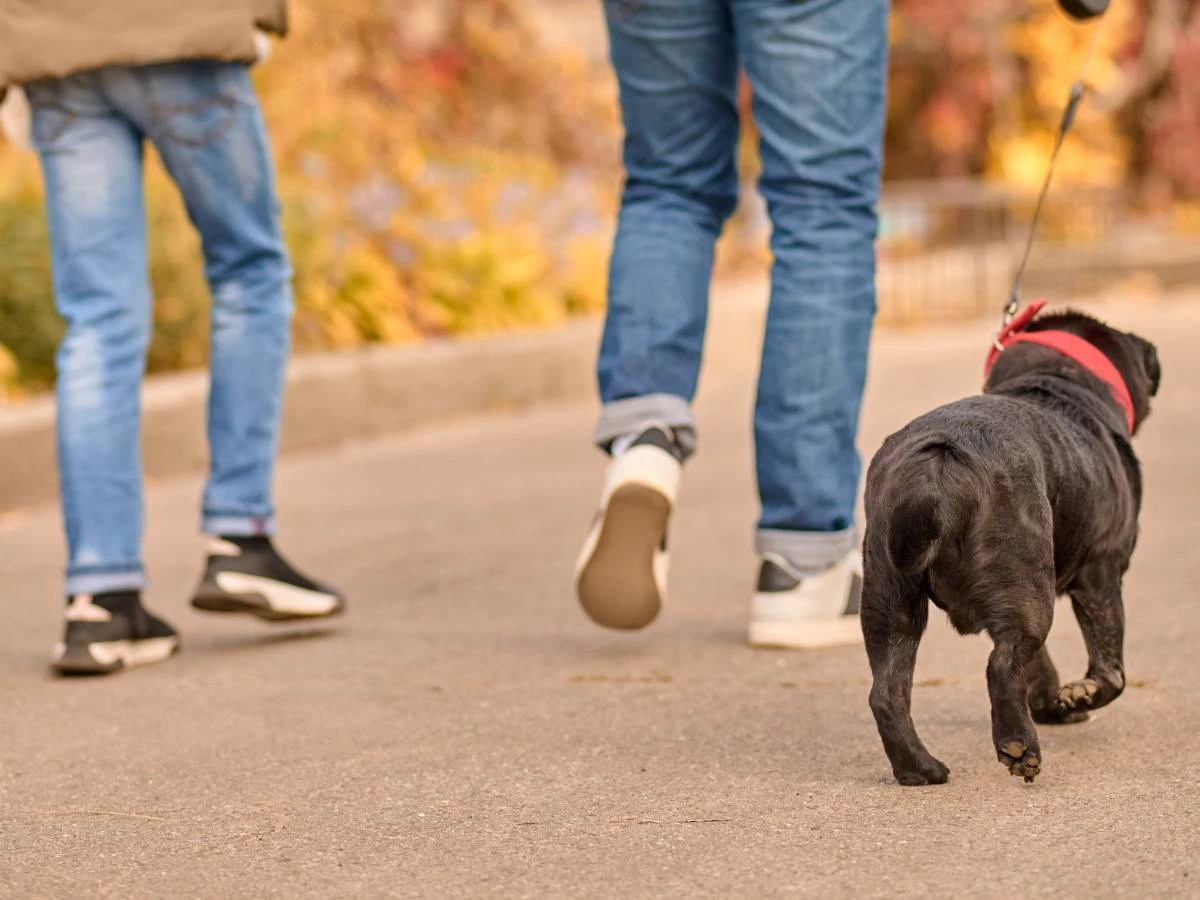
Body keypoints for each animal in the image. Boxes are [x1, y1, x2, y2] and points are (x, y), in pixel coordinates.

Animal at [864, 307, 1161, 787]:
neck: (1054, 382)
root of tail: (940, 462)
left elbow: (1041, 666)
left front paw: (1055, 703)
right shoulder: (1102, 574)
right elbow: (1110, 670)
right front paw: (1081, 695)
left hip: (891, 599)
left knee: (888, 693)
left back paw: (920, 768)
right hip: (1028, 587)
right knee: (1002, 665)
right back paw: (1019, 748)